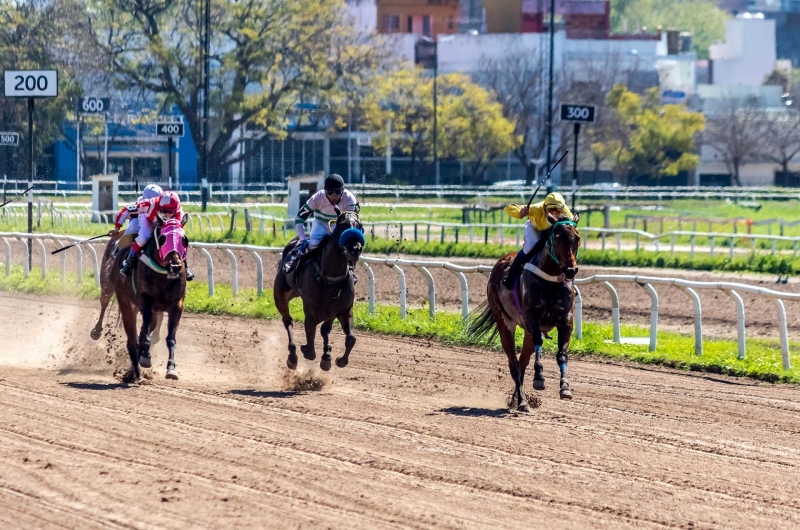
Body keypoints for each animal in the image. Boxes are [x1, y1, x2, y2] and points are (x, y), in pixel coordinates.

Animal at [111, 217, 189, 382]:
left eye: (184, 240)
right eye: (163, 238)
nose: (175, 266)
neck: (163, 276)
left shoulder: (176, 306)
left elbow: (170, 338)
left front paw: (171, 369)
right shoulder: (145, 302)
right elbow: (145, 335)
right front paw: (145, 359)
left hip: (153, 313)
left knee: (141, 334)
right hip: (126, 303)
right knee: (132, 339)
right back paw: (137, 373)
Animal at [274, 207, 364, 372]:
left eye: (359, 225)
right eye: (342, 225)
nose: (355, 249)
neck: (330, 279)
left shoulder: (342, 310)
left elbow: (350, 338)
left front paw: (338, 359)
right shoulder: (311, 312)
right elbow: (310, 348)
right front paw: (307, 350)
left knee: (324, 329)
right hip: (280, 296)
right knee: (288, 321)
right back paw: (292, 357)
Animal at [462, 212, 580, 410]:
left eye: (577, 238)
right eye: (557, 238)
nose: (570, 270)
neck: (550, 279)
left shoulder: (566, 320)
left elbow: (562, 354)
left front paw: (565, 388)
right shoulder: (532, 318)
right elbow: (539, 344)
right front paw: (539, 378)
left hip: (526, 332)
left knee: (522, 362)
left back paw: (515, 400)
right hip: (505, 322)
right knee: (514, 363)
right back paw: (523, 402)